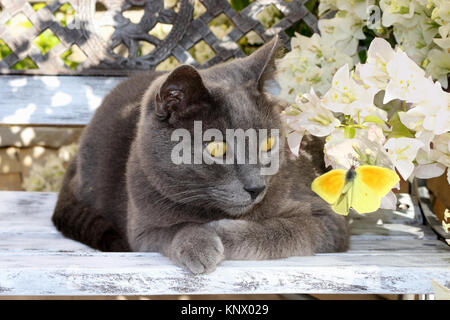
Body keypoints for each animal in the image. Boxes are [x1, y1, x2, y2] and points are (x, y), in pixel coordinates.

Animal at [52, 36, 348, 274]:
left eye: (268, 143)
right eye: (217, 149)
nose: (256, 187)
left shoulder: (328, 219)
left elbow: (281, 230)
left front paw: (221, 232)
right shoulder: (142, 229)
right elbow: (175, 229)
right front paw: (200, 241)